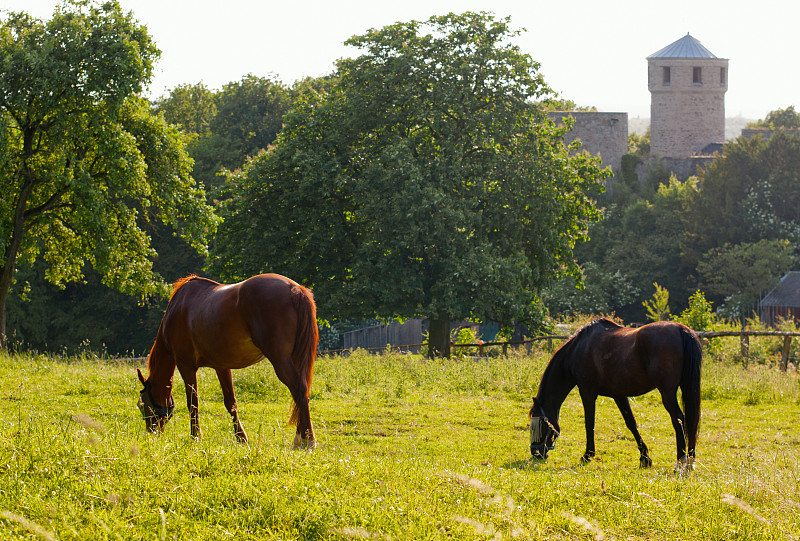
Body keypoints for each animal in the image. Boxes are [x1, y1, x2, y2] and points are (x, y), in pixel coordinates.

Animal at [135, 274, 318, 448]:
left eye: (142, 405)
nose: (151, 434)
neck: (177, 308)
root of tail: (294, 289)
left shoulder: (185, 365)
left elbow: (192, 402)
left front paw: (195, 437)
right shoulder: (221, 366)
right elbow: (230, 402)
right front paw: (241, 438)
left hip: (280, 360)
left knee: (298, 390)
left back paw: (307, 440)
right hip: (295, 358)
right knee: (301, 393)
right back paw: (300, 438)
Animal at [528, 318, 704, 470]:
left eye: (537, 424)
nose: (535, 453)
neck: (579, 349)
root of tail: (681, 329)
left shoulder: (587, 392)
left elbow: (589, 423)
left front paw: (587, 455)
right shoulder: (619, 395)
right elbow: (631, 423)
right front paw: (645, 458)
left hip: (667, 393)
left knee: (678, 419)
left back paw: (680, 461)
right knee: (690, 420)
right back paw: (690, 461)